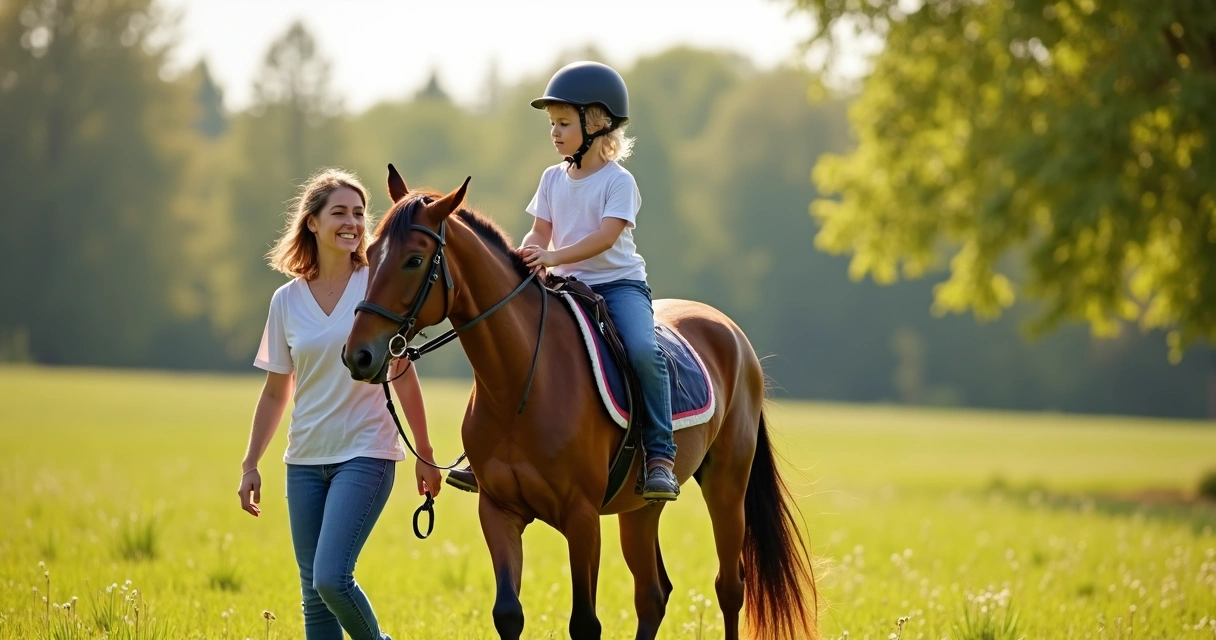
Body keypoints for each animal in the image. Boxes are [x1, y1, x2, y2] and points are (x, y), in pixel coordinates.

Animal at [343, 165, 819, 640]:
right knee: (653, 594)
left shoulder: (583, 517)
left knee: (729, 587)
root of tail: (733, 335)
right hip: (641, 508)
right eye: (369, 254)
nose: (358, 355)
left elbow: (585, 623)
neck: (520, 386)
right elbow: (508, 613)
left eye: (414, 260)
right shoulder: (498, 511)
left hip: (726, 485)